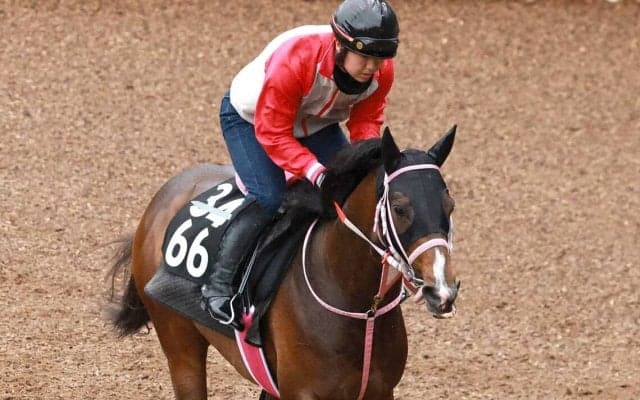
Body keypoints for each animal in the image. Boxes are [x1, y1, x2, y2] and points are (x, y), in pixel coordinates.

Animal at [108, 126, 459, 400]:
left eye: (450, 204)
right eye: (400, 208)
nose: (442, 289)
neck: (358, 306)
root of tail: (159, 202)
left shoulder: (379, 390)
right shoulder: (301, 391)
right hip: (180, 345)